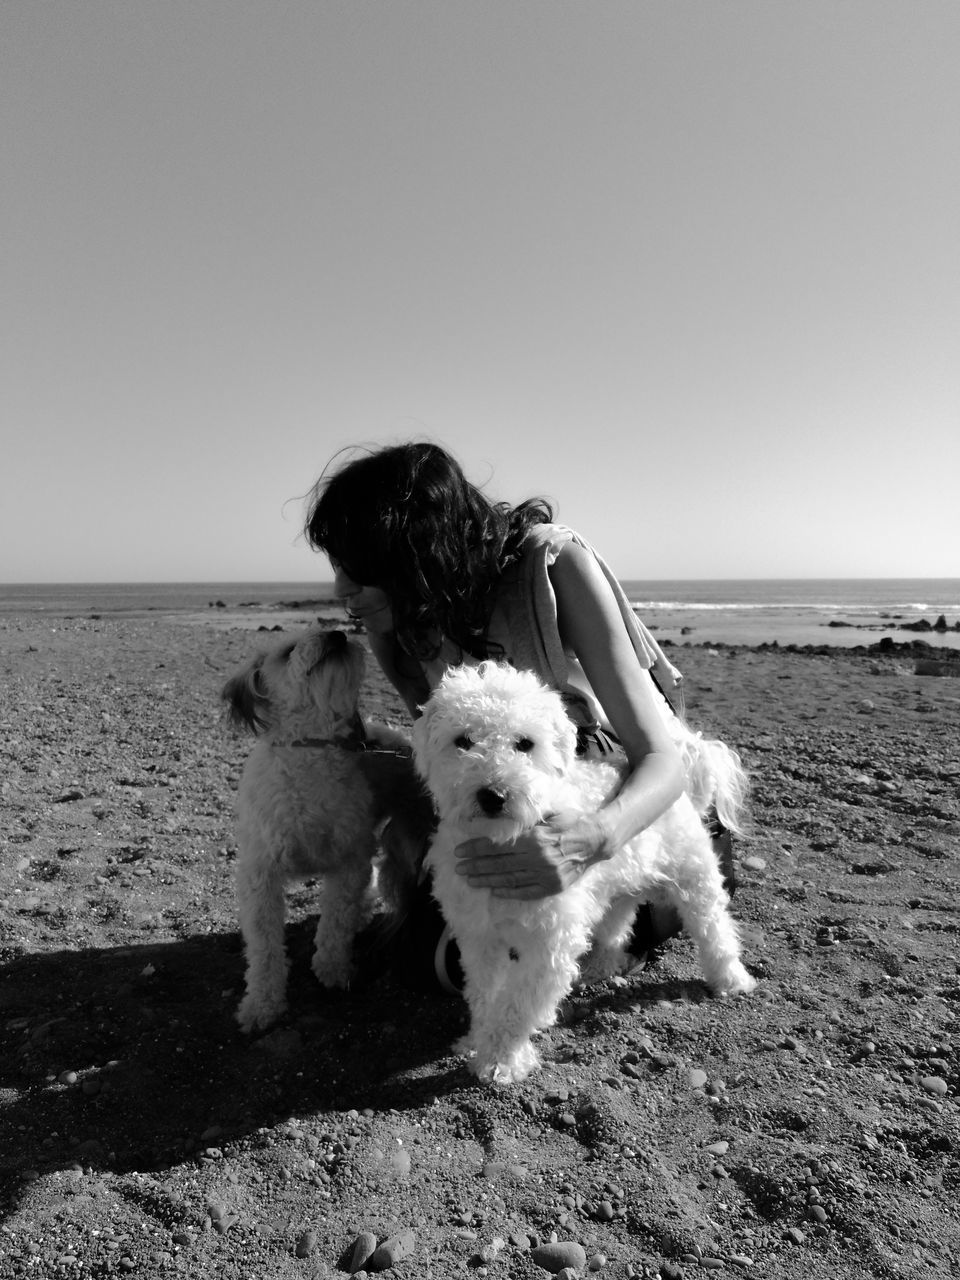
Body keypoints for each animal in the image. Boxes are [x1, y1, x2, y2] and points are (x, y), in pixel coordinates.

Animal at [225, 624, 419, 1034]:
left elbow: (335, 921)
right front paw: (262, 1004)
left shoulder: (349, 862)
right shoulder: (261, 874)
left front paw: (332, 969)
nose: (336, 633)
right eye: (287, 651)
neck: (311, 748)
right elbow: (264, 947)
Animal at [414, 665, 757, 1085]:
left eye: (525, 743)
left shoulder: (550, 941)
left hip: (694, 879)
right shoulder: (479, 938)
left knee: (715, 929)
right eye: (462, 740)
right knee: (617, 922)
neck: (503, 842)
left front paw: (501, 1060)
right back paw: (600, 965)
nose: (493, 795)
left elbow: (517, 1005)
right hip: (616, 885)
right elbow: (485, 994)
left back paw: (731, 979)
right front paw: (476, 1040)